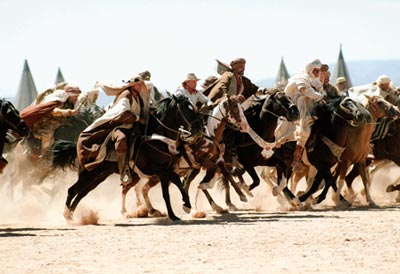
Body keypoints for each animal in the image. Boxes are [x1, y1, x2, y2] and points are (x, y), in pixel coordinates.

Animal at [52, 95, 203, 222]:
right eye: (185, 109)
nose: (199, 130)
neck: (157, 137)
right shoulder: (160, 171)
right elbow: (177, 182)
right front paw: (186, 205)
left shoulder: (165, 171)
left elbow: (166, 194)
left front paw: (173, 215)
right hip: (87, 174)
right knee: (72, 190)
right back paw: (67, 215)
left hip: (99, 176)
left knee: (82, 193)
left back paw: (73, 215)